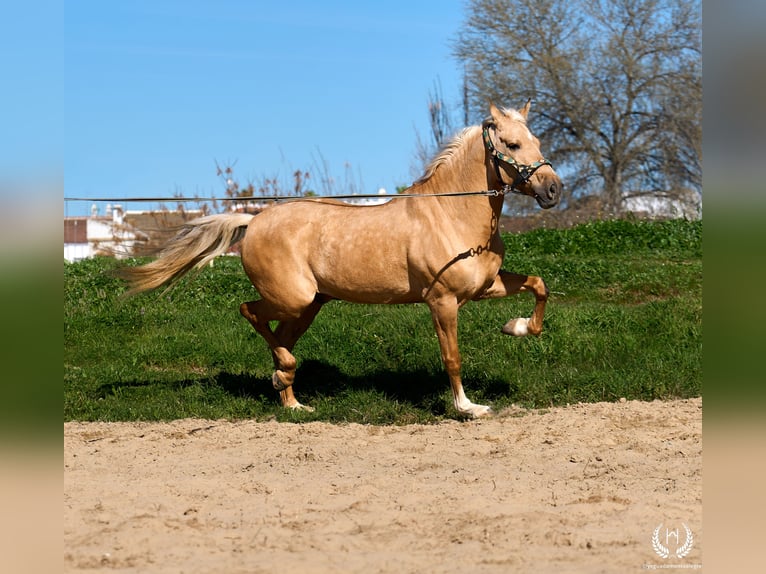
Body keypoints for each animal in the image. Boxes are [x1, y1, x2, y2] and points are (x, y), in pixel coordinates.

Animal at [119, 102, 562, 418]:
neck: (450, 215)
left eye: (537, 141)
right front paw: (468, 408)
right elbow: (451, 358)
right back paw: (285, 375)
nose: (553, 190)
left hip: (309, 305)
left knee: (280, 337)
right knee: (250, 311)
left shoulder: (485, 286)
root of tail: (254, 220)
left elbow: (539, 284)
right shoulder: (442, 301)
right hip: (293, 298)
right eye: (512, 145)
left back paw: (291, 398)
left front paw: (517, 327)